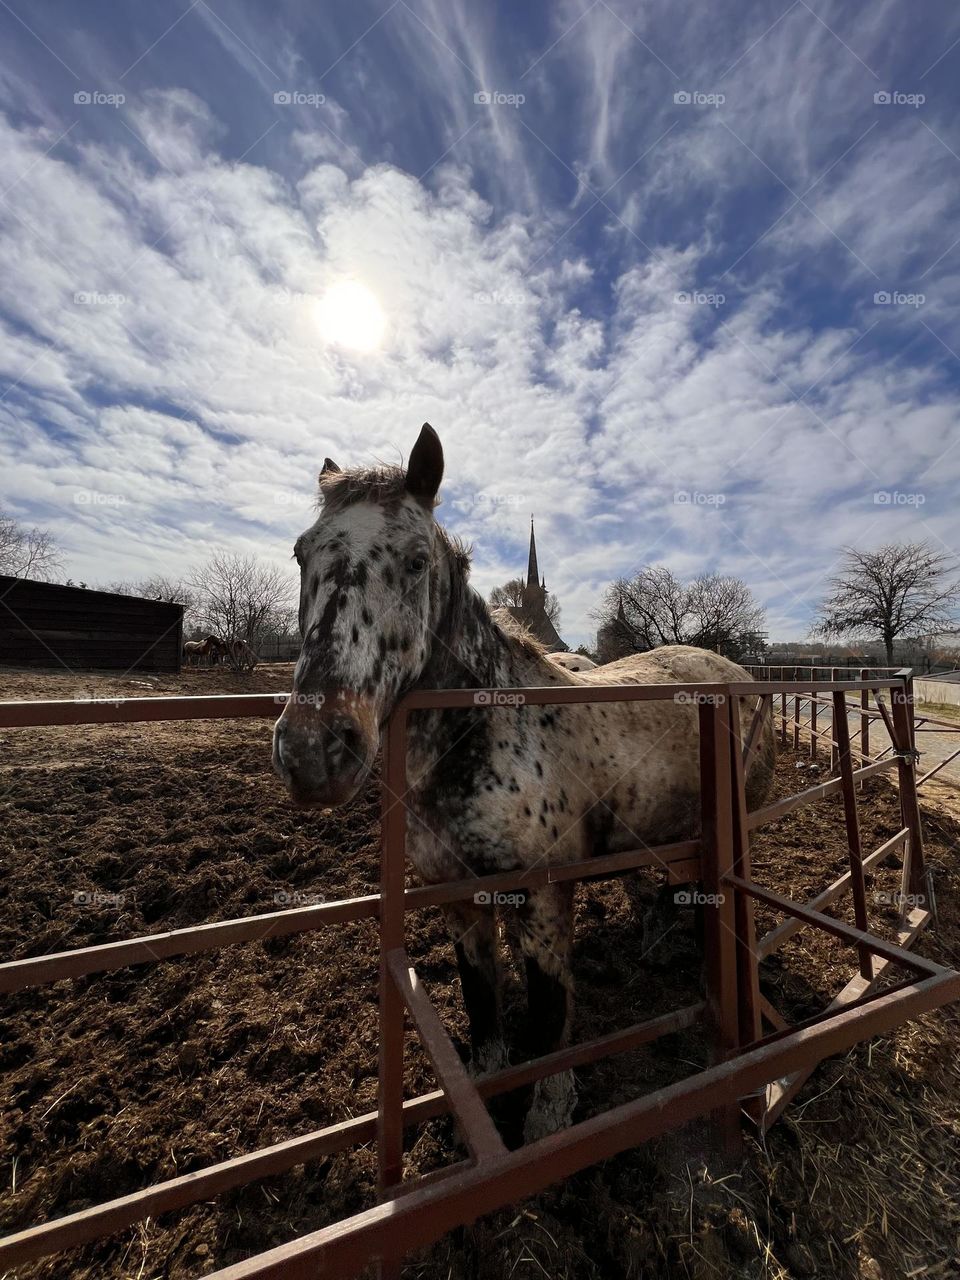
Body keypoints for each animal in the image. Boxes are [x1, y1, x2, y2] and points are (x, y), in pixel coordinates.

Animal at [272, 422, 783, 1141]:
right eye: (302, 556)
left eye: (416, 562)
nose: (314, 750)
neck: (485, 738)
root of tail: (734, 673)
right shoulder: (460, 899)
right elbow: (481, 1003)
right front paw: (483, 1097)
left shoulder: (543, 900)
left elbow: (548, 1018)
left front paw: (548, 1114)